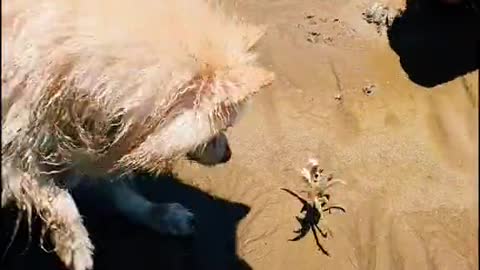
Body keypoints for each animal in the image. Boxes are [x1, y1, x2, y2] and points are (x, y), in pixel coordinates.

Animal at [0, 0, 274, 270]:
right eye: (221, 128)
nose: (228, 154)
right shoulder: (15, 151)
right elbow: (58, 198)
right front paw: (76, 244)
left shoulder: (104, 135)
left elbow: (120, 190)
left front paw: (159, 214)